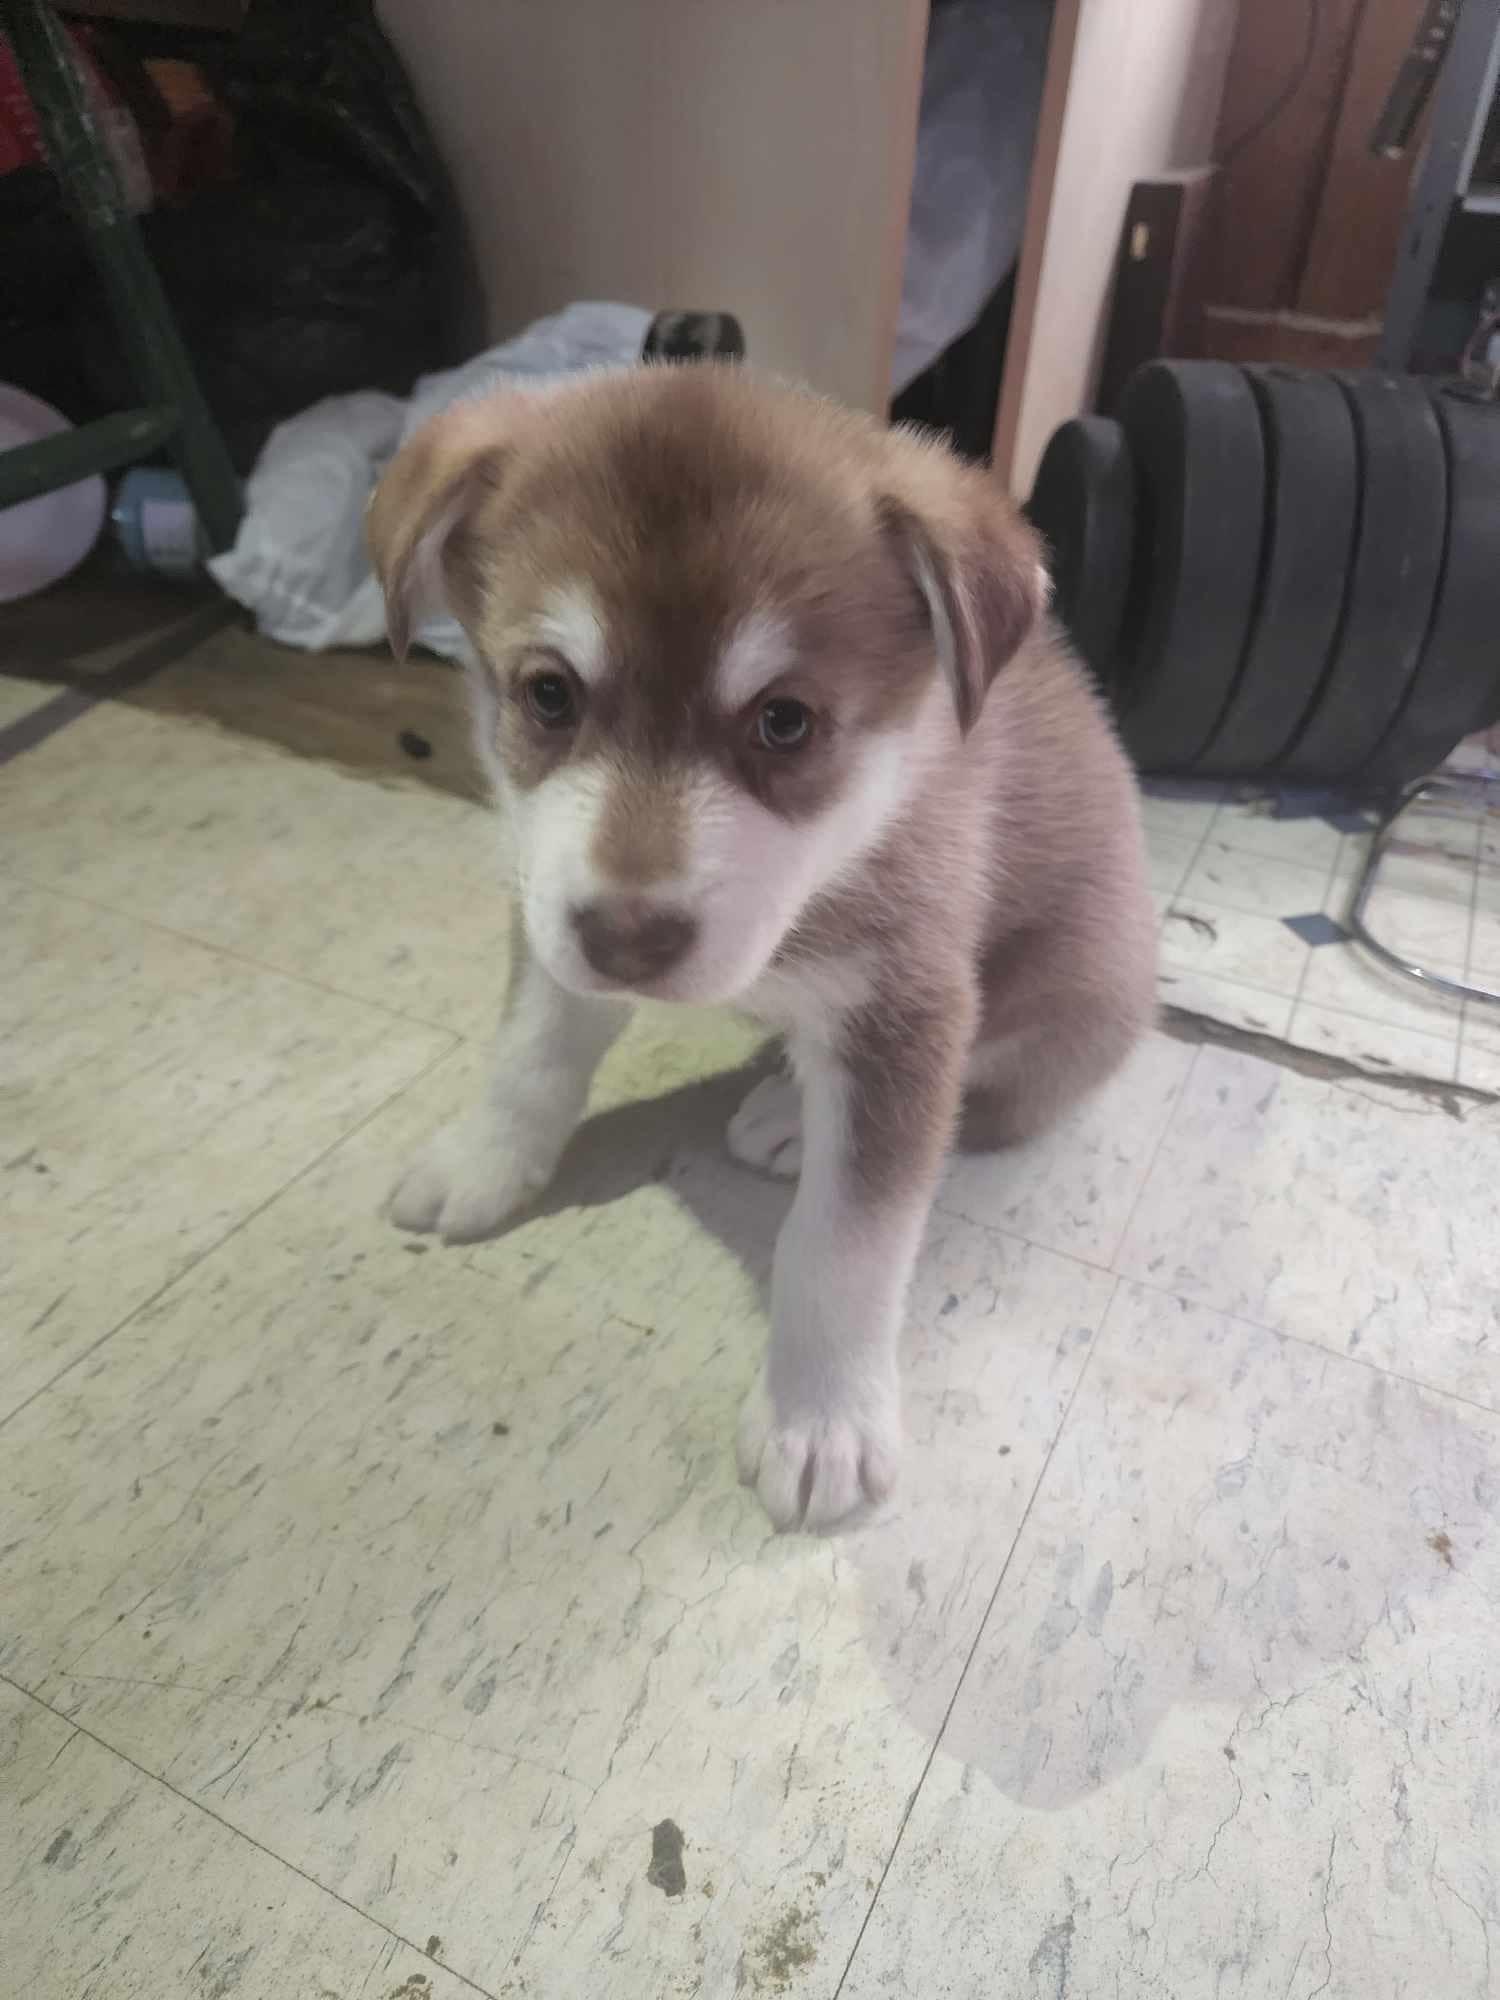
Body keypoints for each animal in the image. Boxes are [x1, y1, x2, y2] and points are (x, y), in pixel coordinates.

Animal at [368, 364, 1160, 1528]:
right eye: (548, 692)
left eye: (785, 721)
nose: (628, 937)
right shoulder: (550, 913)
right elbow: (529, 1058)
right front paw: (486, 1159)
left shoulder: (905, 1006)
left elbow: (845, 1243)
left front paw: (820, 1418)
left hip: (1064, 996)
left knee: (983, 1092)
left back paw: (793, 1113)